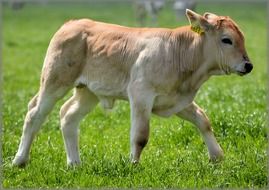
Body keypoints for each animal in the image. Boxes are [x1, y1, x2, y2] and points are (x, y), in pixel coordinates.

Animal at [12, 9, 251, 166]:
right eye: (227, 40)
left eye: (242, 38)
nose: (248, 65)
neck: (180, 53)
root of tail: (71, 24)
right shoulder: (141, 95)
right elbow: (140, 136)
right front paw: (133, 165)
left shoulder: (177, 99)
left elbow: (203, 120)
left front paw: (217, 156)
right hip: (54, 81)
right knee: (35, 114)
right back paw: (20, 160)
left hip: (88, 91)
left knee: (68, 115)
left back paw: (75, 163)